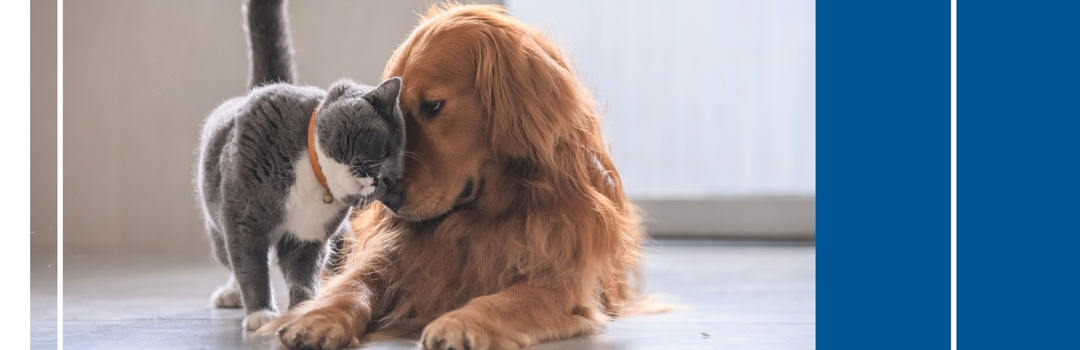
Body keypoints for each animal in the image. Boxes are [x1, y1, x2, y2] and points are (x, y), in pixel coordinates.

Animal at [194, 0, 406, 330]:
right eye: (383, 151)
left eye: (390, 180)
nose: (378, 180)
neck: (313, 177)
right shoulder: (243, 218)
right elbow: (250, 266)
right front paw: (260, 313)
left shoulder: (309, 236)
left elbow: (303, 274)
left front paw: (303, 310)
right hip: (217, 220)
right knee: (228, 256)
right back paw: (231, 294)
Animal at [265, 3, 643, 350]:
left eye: (433, 106)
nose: (387, 199)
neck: (479, 218)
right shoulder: (390, 254)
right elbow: (353, 284)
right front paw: (317, 317)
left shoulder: (561, 282)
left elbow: (504, 300)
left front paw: (459, 324)